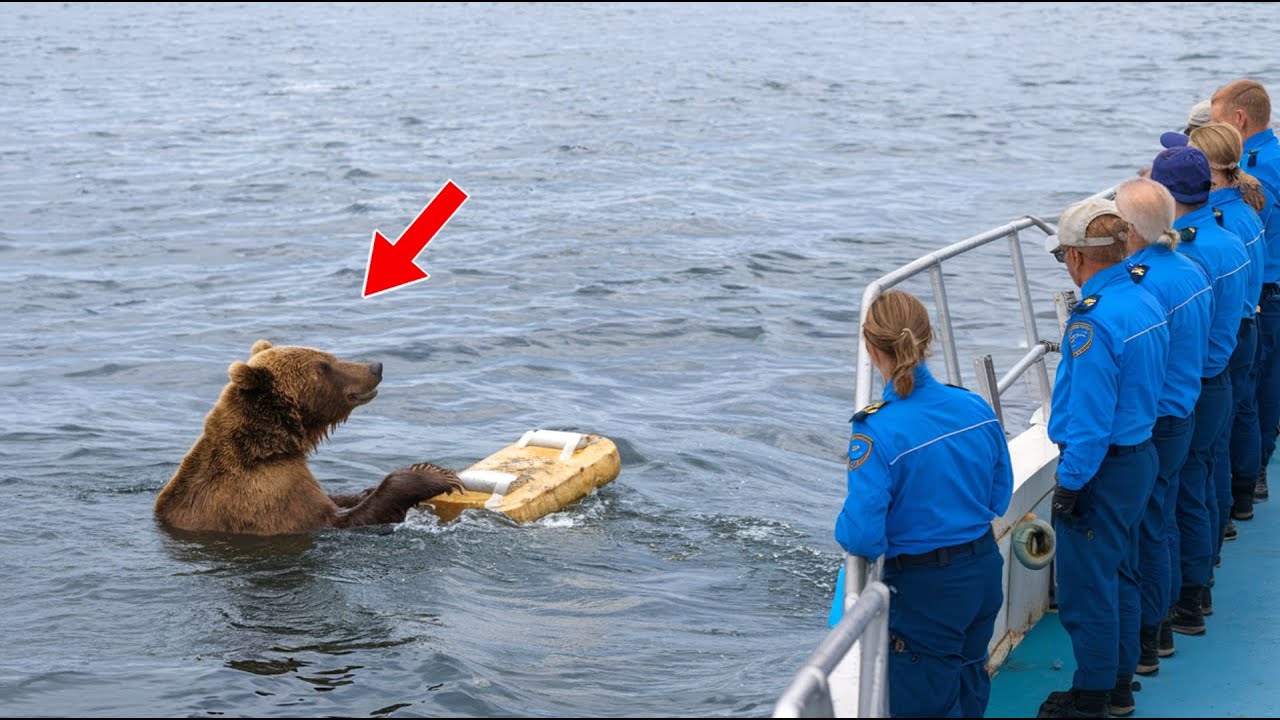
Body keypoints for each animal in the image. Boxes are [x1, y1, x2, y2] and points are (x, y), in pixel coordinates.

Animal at [154, 339, 463, 535]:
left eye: (330, 356)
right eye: (323, 366)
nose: (376, 367)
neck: (272, 447)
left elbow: (338, 498)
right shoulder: (264, 496)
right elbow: (344, 520)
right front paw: (433, 475)